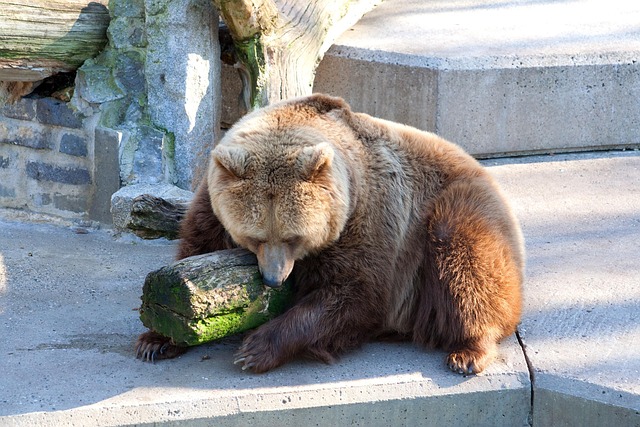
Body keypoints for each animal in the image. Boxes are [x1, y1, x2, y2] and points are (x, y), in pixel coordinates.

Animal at [136, 94, 525, 375]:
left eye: (293, 237)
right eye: (254, 237)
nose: (274, 279)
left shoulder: (368, 215)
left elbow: (353, 294)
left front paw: (255, 348)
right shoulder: (211, 206)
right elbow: (194, 250)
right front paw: (156, 339)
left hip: (452, 210)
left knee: (468, 265)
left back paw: (469, 351)